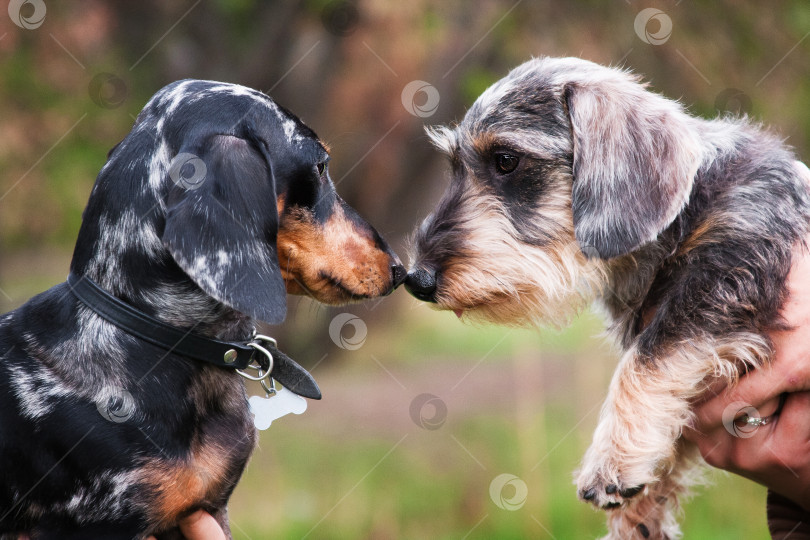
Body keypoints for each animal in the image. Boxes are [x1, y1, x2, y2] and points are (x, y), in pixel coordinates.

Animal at [408, 56, 808, 540]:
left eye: (506, 160)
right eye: (454, 166)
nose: (416, 279)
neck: (685, 210)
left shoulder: (730, 273)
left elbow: (647, 359)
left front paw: (612, 461)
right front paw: (637, 516)